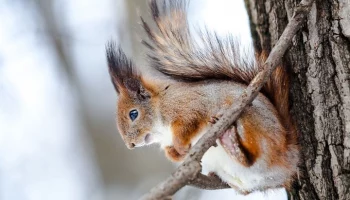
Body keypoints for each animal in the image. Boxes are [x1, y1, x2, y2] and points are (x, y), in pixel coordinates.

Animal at [106, 0, 298, 195]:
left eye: (133, 114)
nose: (130, 145)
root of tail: (288, 155)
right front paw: (174, 153)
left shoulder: (190, 106)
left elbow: (189, 122)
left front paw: (180, 146)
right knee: (247, 169)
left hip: (252, 121)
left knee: (253, 154)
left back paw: (230, 141)